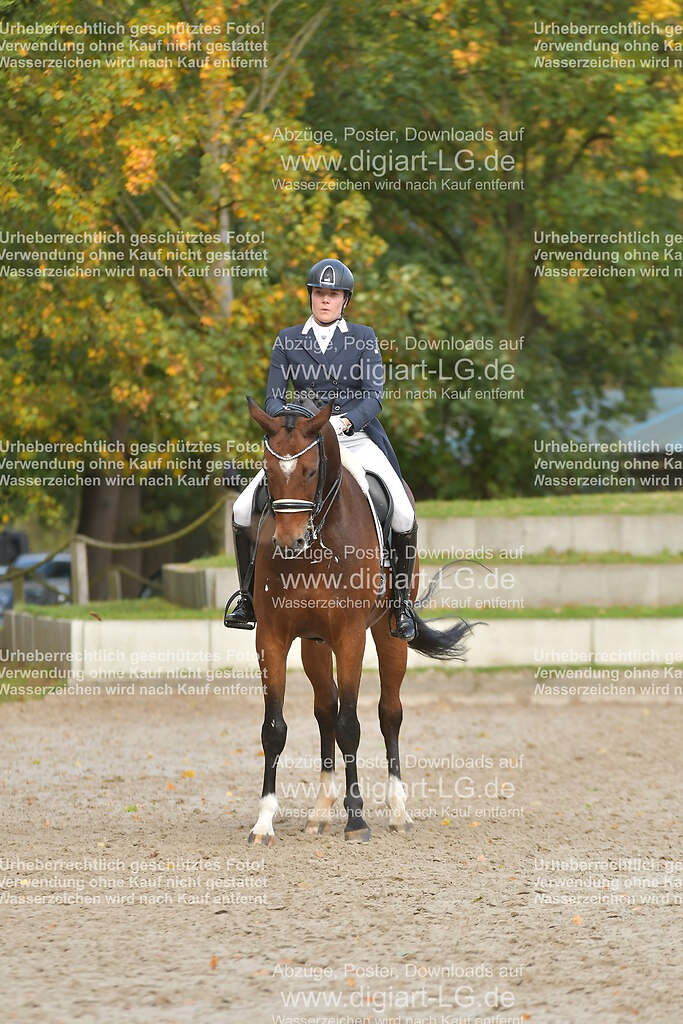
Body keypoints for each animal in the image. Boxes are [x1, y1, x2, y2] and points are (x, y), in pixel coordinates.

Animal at [243, 397, 470, 844]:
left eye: (311, 471)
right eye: (267, 469)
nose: (288, 543)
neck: (317, 543)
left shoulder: (351, 637)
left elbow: (351, 724)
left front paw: (357, 819)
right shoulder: (272, 638)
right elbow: (274, 728)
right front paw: (264, 822)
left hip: (389, 634)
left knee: (389, 713)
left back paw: (397, 810)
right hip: (314, 644)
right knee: (324, 711)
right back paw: (320, 810)